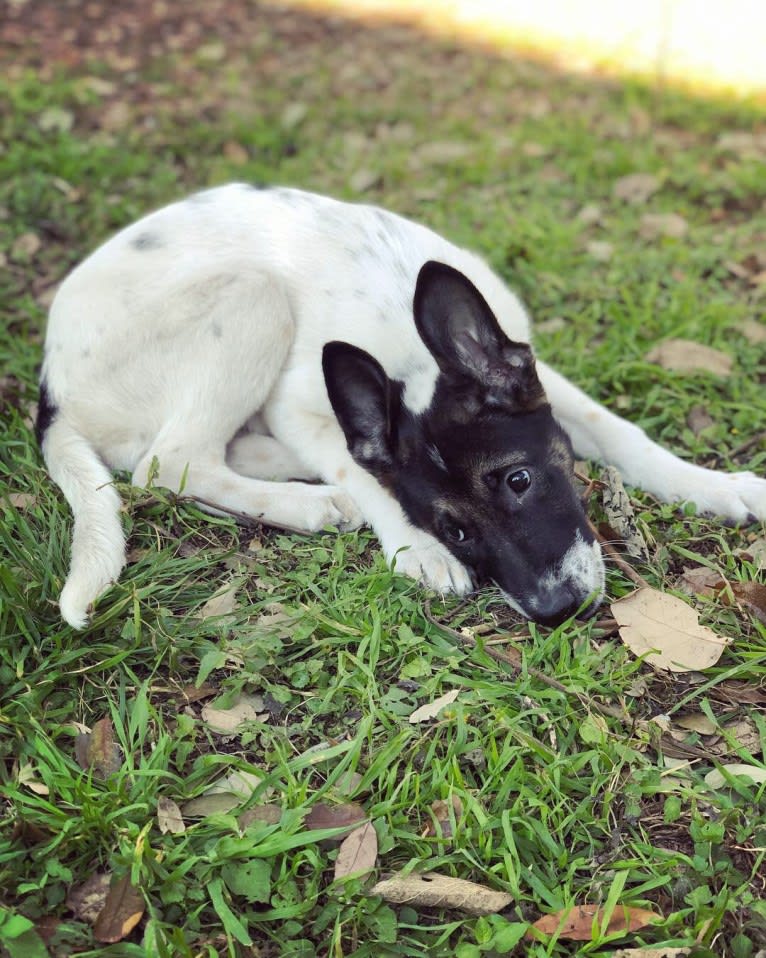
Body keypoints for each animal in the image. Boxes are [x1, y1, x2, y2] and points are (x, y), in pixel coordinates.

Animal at [34, 184, 766, 632]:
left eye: (519, 481)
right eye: (457, 530)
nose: (556, 609)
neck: (410, 360)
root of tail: (51, 393)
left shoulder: (528, 362)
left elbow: (616, 431)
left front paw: (717, 486)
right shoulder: (303, 405)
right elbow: (361, 466)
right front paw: (416, 547)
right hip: (251, 294)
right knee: (166, 462)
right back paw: (311, 503)